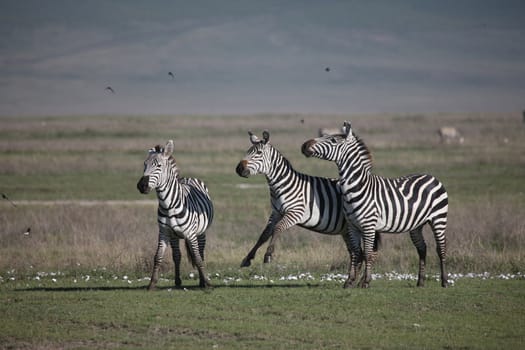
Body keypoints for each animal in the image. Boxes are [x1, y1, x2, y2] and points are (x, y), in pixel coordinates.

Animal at [137, 140, 215, 290]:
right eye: (144, 164)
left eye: (159, 166)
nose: (141, 186)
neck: (168, 206)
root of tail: (188, 178)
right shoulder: (164, 232)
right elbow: (158, 257)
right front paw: (152, 284)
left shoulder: (191, 233)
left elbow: (197, 258)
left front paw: (207, 283)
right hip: (175, 236)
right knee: (177, 255)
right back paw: (178, 281)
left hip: (201, 232)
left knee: (201, 253)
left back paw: (202, 281)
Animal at [233, 131, 376, 282]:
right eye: (247, 151)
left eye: (259, 153)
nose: (239, 169)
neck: (283, 185)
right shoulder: (276, 212)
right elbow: (264, 234)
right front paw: (248, 258)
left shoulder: (296, 213)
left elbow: (278, 228)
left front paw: (269, 255)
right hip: (347, 230)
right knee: (356, 253)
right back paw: (353, 279)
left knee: (363, 252)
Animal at [300, 121, 448, 288]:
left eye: (333, 140)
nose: (304, 145)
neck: (357, 187)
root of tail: (432, 177)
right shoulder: (353, 226)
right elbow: (357, 252)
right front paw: (350, 282)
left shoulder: (369, 225)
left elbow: (368, 253)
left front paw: (365, 281)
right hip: (417, 224)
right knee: (422, 248)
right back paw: (421, 281)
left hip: (439, 219)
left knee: (441, 248)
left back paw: (444, 281)